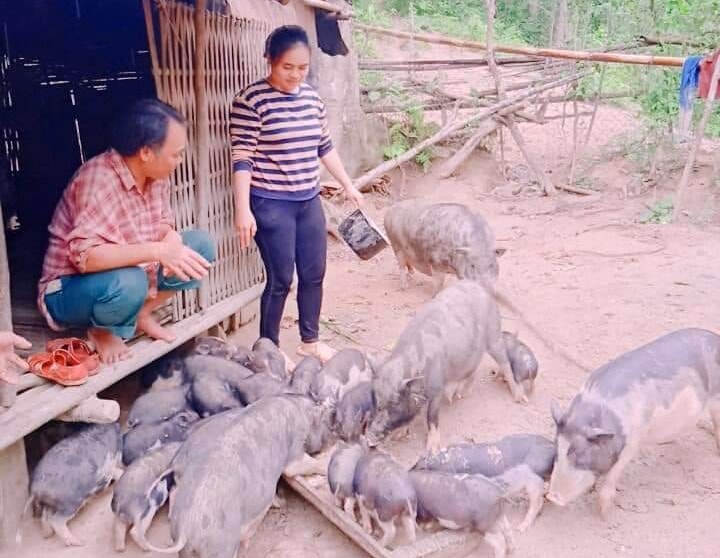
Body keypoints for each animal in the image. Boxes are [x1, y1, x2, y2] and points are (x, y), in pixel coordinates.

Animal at [141, 396, 338, 556]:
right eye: (325, 424)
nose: (332, 441)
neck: (298, 410)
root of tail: (186, 528)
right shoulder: (295, 447)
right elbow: (297, 466)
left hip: (186, 547)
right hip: (221, 546)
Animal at [372, 280, 524, 456]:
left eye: (394, 405)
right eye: (375, 403)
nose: (370, 438)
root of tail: (478, 284)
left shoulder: (437, 388)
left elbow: (432, 416)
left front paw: (433, 450)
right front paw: (399, 435)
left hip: (494, 332)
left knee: (505, 363)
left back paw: (520, 399)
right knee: (474, 368)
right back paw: (461, 394)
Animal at [410, 436, 556, 532]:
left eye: (417, 468)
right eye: (413, 466)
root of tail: (553, 448)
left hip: (535, 480)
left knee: (536, 503)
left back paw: (521, 528)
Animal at [544, 328, 720, 520]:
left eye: (580, 455)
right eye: (557, 451)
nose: (552, 497)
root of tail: (715, 338)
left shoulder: (632, 442)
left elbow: (613, 474)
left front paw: (603, 516)